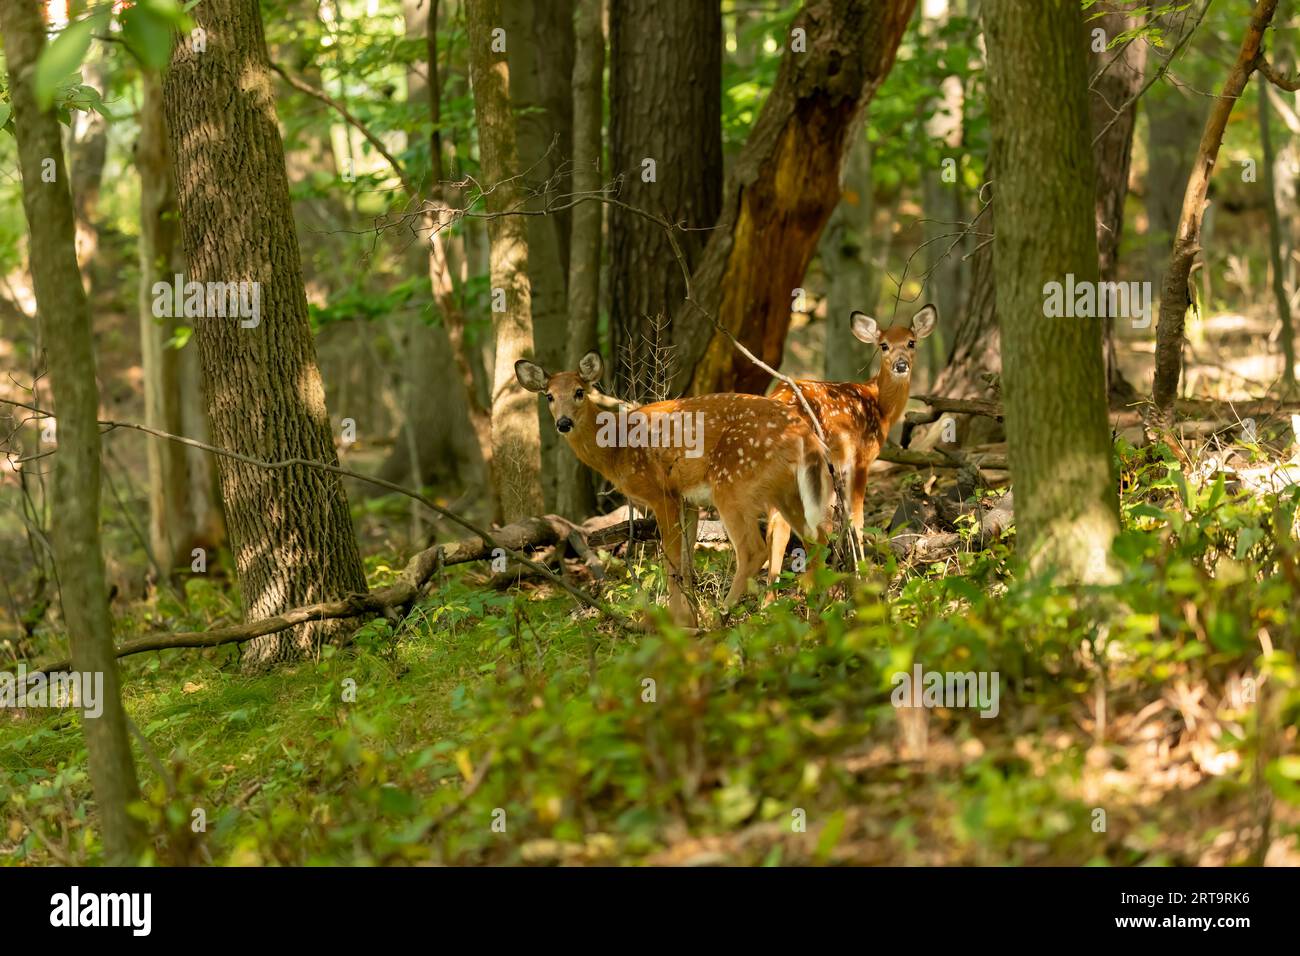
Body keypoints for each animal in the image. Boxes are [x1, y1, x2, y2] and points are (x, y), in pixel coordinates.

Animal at [512, 351, 826, 629]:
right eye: (549, 396)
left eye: (579, 391)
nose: (563, 423)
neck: (617, 449)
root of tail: (803, 432)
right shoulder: (687, 499)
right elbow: (686, 562)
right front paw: (689, 618)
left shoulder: (661, 493)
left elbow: (671, 561)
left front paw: (677, 622)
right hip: (784, 491)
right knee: (817, 539)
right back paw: (817, 611)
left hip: (733, 483)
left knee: (754, 549)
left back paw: (722, 617)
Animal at [759, 303, 935, 582]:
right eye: (884, 345)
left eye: (911, 342)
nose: (901, 364)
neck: (880, 406)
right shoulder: (861, 458)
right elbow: (857, 518)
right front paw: (861, 570)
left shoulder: (837, 469)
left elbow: (834, 519)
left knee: (775, 526)